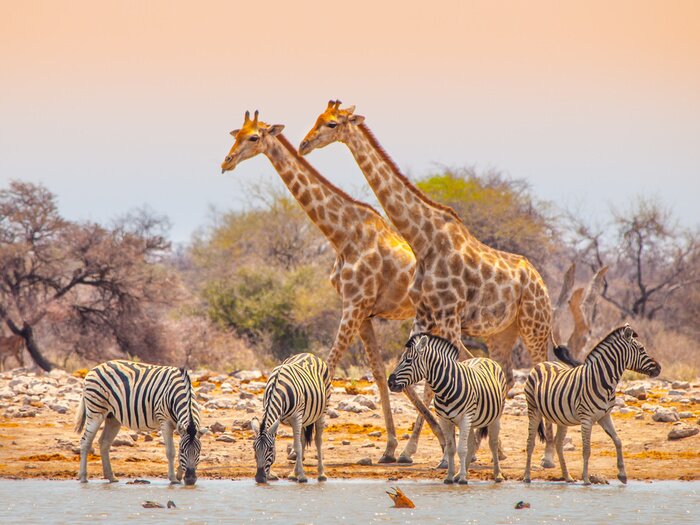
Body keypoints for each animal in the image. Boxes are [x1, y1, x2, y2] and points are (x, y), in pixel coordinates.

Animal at [75, 360, 204, 485]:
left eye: (199, 451)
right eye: (182, 450)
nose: (190, 480)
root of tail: (95, 368)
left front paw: (179, 475)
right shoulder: (165, 421)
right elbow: (171, 451)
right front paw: (173, 479)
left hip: (112, 417)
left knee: (104, 442)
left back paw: (111, 477)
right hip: (95, 411)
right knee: (85, 442)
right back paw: (83, 477)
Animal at [251, 353, 331, 484]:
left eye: (270, 449)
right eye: (254, 449)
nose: (259, 478)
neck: (277, 388)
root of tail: (309, 354)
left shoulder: (296, 417)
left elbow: (297, 447)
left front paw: (302, 476)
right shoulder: (277, 417)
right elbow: (296, 444)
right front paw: (271, 475)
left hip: (322, 411)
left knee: (317, 440)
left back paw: (321, 474)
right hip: (304, 418)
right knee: (302, 440)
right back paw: (294, 474)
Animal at [388, 333, 507, 485]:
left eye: (408, 360)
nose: (389, 383)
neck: (445, 389)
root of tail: (484, 358)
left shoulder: (465, 418)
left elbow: (461, 449)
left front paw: (463, 479)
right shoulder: (444, 420)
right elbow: (451, 449)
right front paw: (450, 477)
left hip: (494, 417)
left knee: (492, 444)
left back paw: (497, 475)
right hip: (472, 421)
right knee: (472, 444)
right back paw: (459, 474)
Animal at [523, 324, 661, 485]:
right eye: (641, 349)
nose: (659, 368)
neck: (603, 381)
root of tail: (543, 363)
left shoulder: (605, 416)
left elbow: (618, 441)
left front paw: (622, 474)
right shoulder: (587, 418)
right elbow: (587, 450)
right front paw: (586, 479)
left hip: (561, 418)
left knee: (558, 443)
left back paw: (568, 477)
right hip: (533, 410)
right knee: (530, 443)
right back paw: (527, 477)